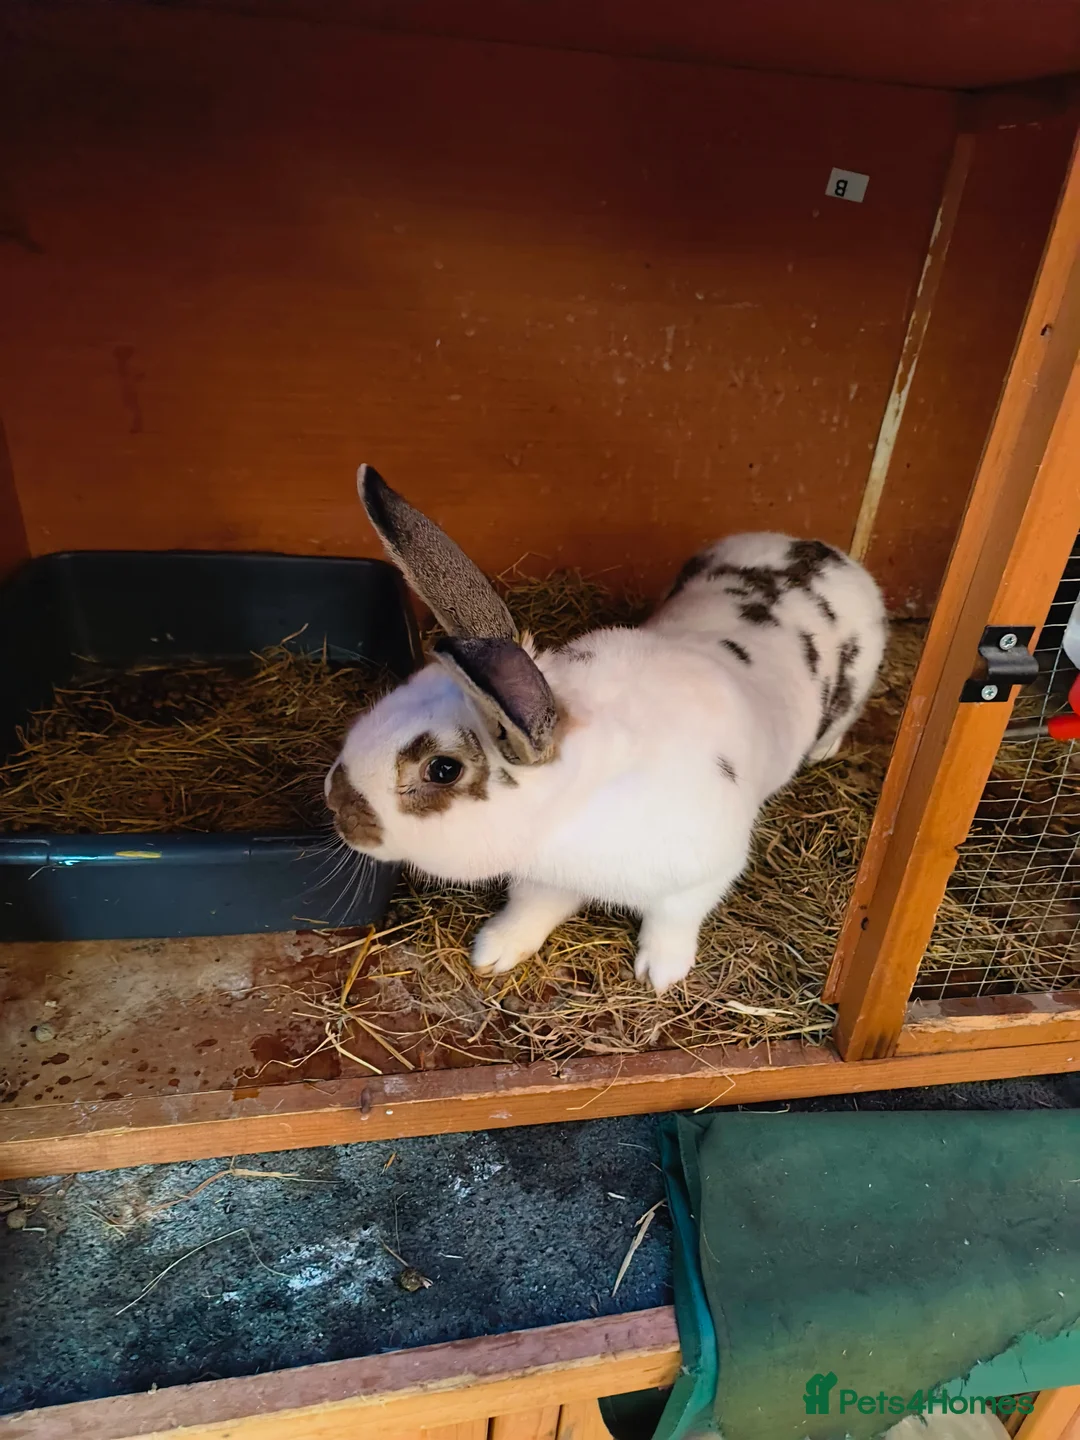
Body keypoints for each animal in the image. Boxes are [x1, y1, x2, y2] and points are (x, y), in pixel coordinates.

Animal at [326, 465, 886, 994]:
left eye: (442, 769)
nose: (335, 799)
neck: (576, 807)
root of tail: (824, 553)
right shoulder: (543, 880)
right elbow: (532, 908)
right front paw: (495, 951)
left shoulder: (702, 877)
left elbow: (672, 923)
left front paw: (661, 974)